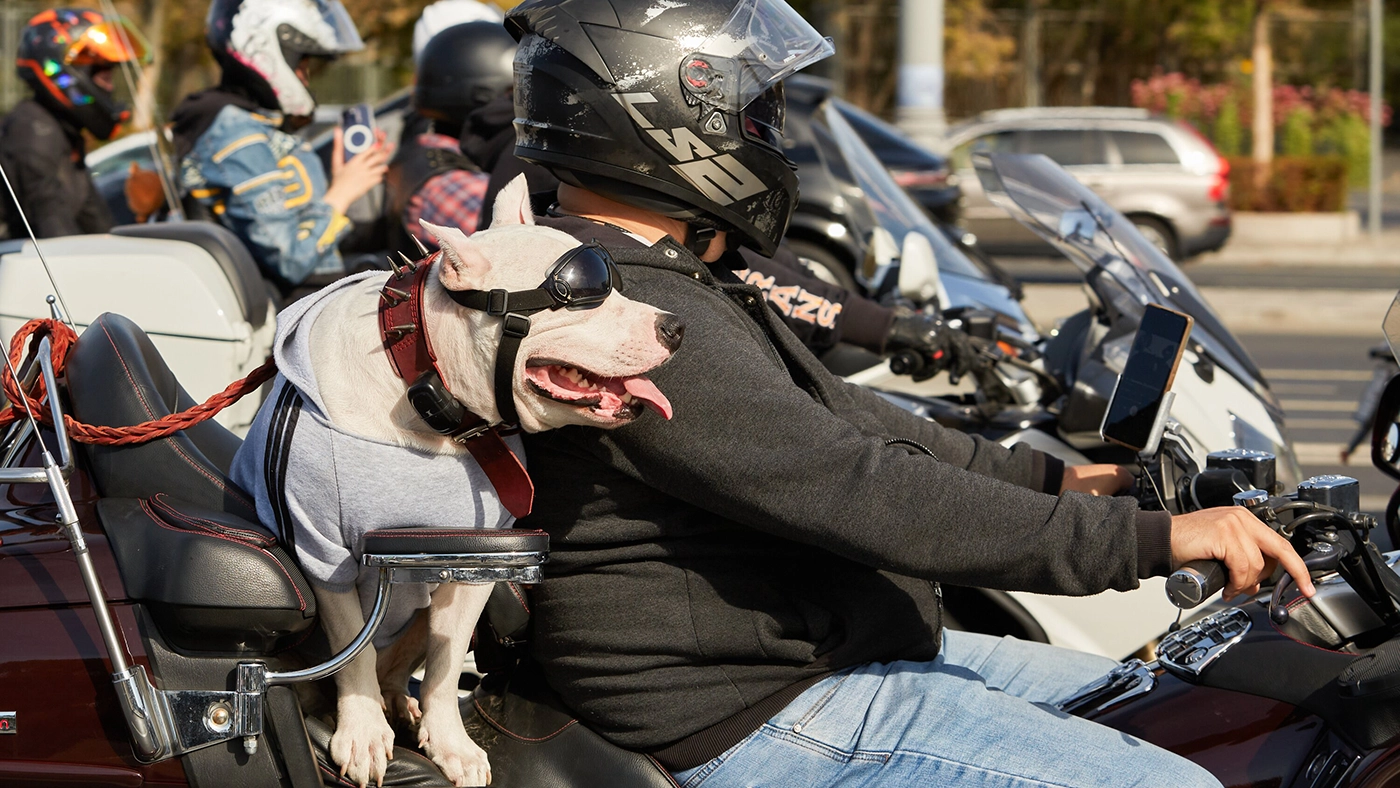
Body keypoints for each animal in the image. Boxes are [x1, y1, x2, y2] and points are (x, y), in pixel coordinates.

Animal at [232, 179, 680, 788]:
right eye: (581, 298)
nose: (676, 327)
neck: (426, 392)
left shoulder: (478, 559)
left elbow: (447, 664)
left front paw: (450, 743)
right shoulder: (323, 552)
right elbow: (352, 652)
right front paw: (363, 733)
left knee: (398, 667)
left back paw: (401, 706)